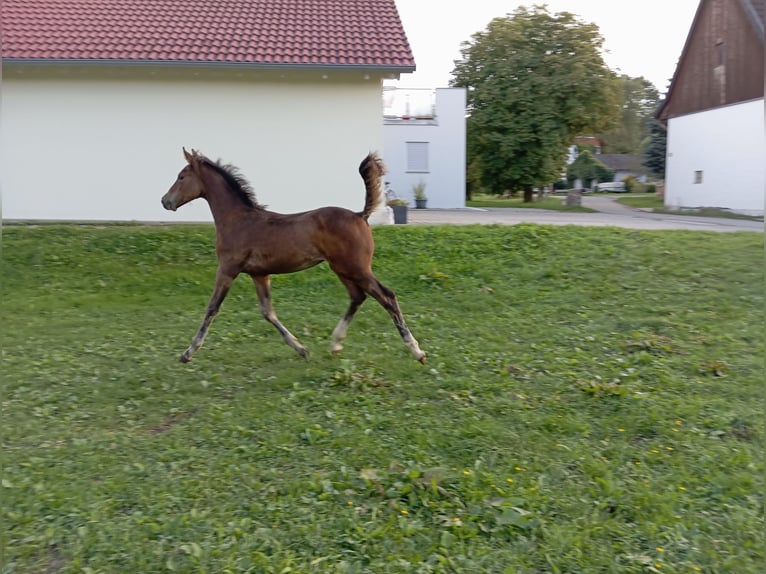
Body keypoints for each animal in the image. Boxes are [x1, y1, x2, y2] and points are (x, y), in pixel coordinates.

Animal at [163, 148, 428, 364]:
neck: (238, 220)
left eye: (181, 176)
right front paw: (301, 349)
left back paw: (416, 351)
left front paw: (188, 352)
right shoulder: (260, 274)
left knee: (386, 296)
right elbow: (268, 312)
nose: (165, 201)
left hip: (356, 268)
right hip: (342, 268)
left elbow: (212, 308)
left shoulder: (228, 269)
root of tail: (359, 215)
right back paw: (335, 344)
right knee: (357, 296)